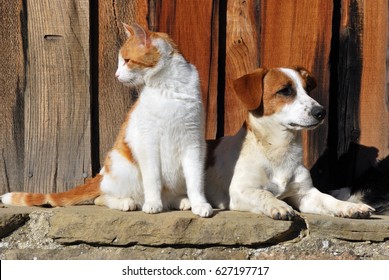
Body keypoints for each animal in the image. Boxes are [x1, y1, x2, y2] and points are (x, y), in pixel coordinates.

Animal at [0, 23, 212, 218]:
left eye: (127, 61)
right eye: (121, 62)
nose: (116, 75)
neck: (168, 86)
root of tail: (100, 175)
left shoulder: (193, 143)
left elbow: (195, 181)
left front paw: (200, 204)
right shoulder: (148, 144)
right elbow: (153, 179)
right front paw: (153, 203)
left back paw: (181, 201)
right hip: (124, 166)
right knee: (102, 198)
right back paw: (127, 202)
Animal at [205, 66, 374, 220]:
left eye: (308, 89)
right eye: (285, 90)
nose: (321, 112)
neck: (278, 150)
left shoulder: (306, 194)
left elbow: (329, 199)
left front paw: (351, 206)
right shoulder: (239, 191)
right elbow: (263, 193)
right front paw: (279, 205)